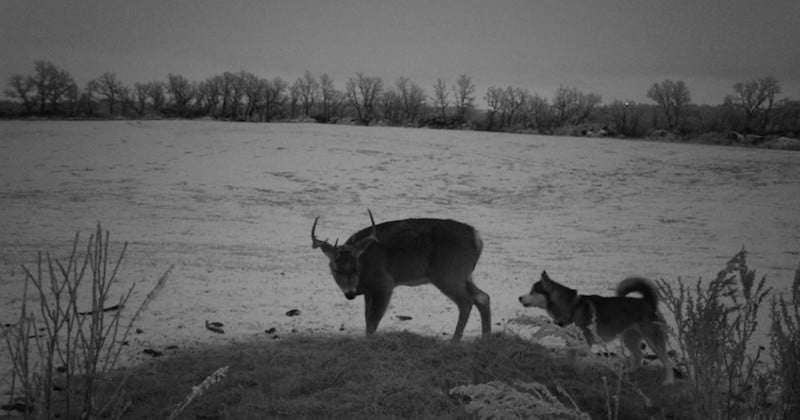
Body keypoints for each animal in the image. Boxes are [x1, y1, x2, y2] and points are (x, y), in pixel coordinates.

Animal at [310, 210, 488, 342]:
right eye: (335, 269)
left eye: (356, 267)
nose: (350, 294)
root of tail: (477, 237)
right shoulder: (369, 291)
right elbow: (367, 319)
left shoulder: (384, 284)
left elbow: (372, 324)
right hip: (465, 275)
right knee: (483, 297)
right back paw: (485, 338)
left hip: (449, 273)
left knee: (466, 301)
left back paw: (454, 341)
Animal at [520, 272, 676, 384]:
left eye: (533, 291)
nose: (519, 298)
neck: (571, 306)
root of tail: (649, 301)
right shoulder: (572, 341)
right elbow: (570, 358)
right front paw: (568, 370)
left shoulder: (586, 340)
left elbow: (582, 358)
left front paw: (580, 371)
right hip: (629, 337)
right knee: (638, 356)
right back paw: (629, 372)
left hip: (652, 339)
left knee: (666, 360)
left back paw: (668, 381)